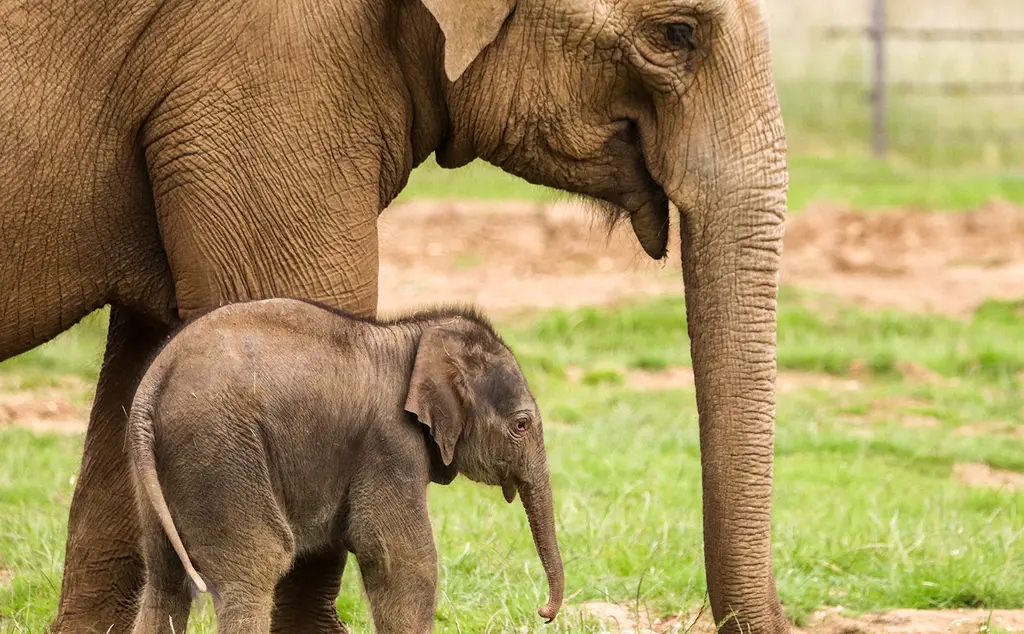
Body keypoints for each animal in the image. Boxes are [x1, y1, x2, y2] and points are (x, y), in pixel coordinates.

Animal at [125, 298, 563, 634]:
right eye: (521, 426)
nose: (543, 613)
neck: (412, 335)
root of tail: (154, 382)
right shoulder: (389, 443)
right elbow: (403, 559)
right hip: (222, 453)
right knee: (253, 572)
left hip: (161, 470)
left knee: (164, 581)